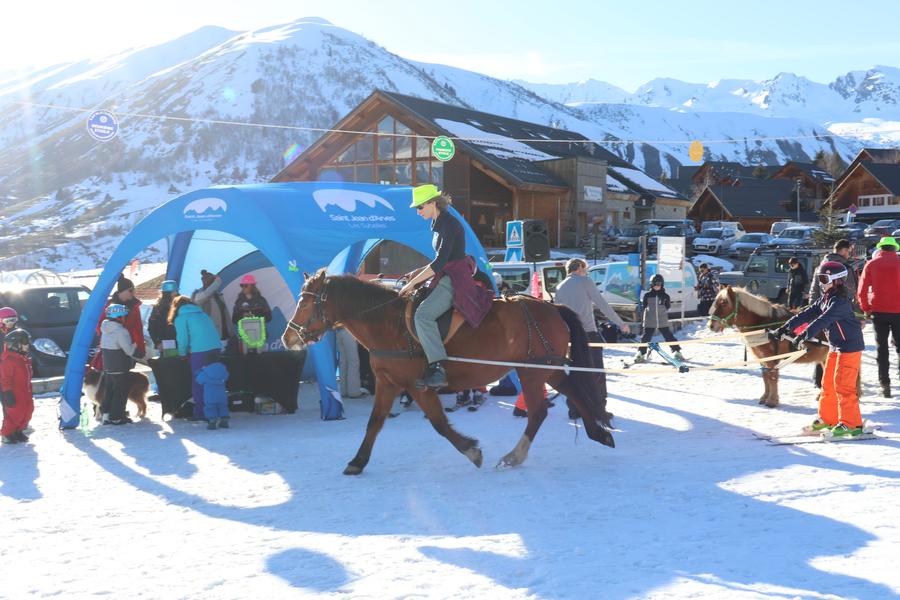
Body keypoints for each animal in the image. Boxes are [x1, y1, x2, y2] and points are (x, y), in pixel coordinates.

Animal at [284, 270, 616, 476]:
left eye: (305, 301)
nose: (288, 337)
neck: (389, 324)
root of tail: (551, 307)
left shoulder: (418, 385)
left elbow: (439, 424)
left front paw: (471, 450)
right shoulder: (388, 383)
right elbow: (374, 423)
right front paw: (357, 461)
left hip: (532, 372)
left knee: (538, 412)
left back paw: (514, 455)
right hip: (546, 368)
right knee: (574, 391)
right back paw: (598, 432)